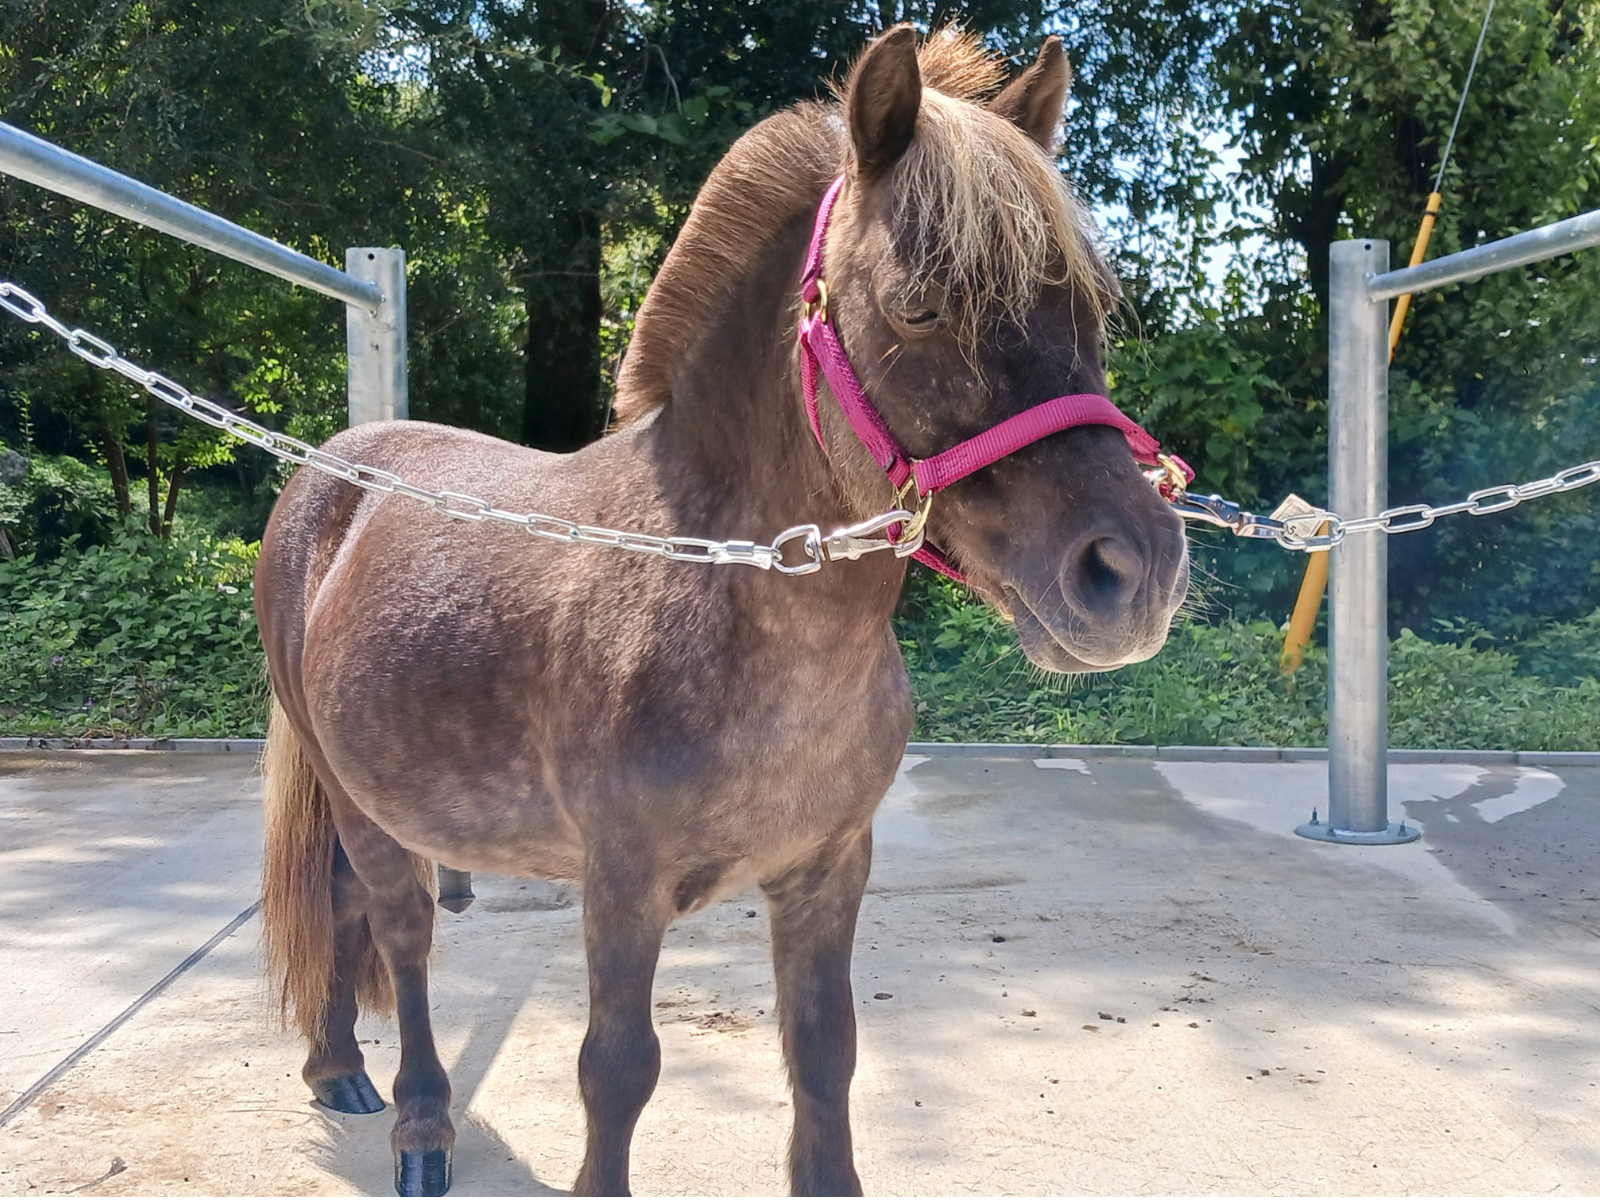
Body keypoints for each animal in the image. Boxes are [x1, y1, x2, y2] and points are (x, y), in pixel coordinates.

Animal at [254, 25, 1189, 1197]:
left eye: (1091, 311)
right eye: (920, 305)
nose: (1133, 570)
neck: (723, 592)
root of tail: (329, 472)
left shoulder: (828, 871)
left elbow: (825, 1050)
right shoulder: (621, 887)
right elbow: (616, 1070)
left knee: (344, 913)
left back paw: (337, 1067)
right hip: (360, 798)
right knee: (401, 930)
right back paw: (421, 1127)